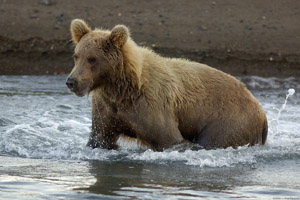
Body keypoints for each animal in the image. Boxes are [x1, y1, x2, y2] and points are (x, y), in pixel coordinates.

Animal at [65, 19, 268, 150]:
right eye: (76, 56)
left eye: (92, 59)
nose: (71, 81)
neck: (121, 89)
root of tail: (261, 111)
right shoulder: (107, 109)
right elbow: (101, 137)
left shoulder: (150, 106)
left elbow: (170, 140)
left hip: (228, 119)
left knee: (214, 140)